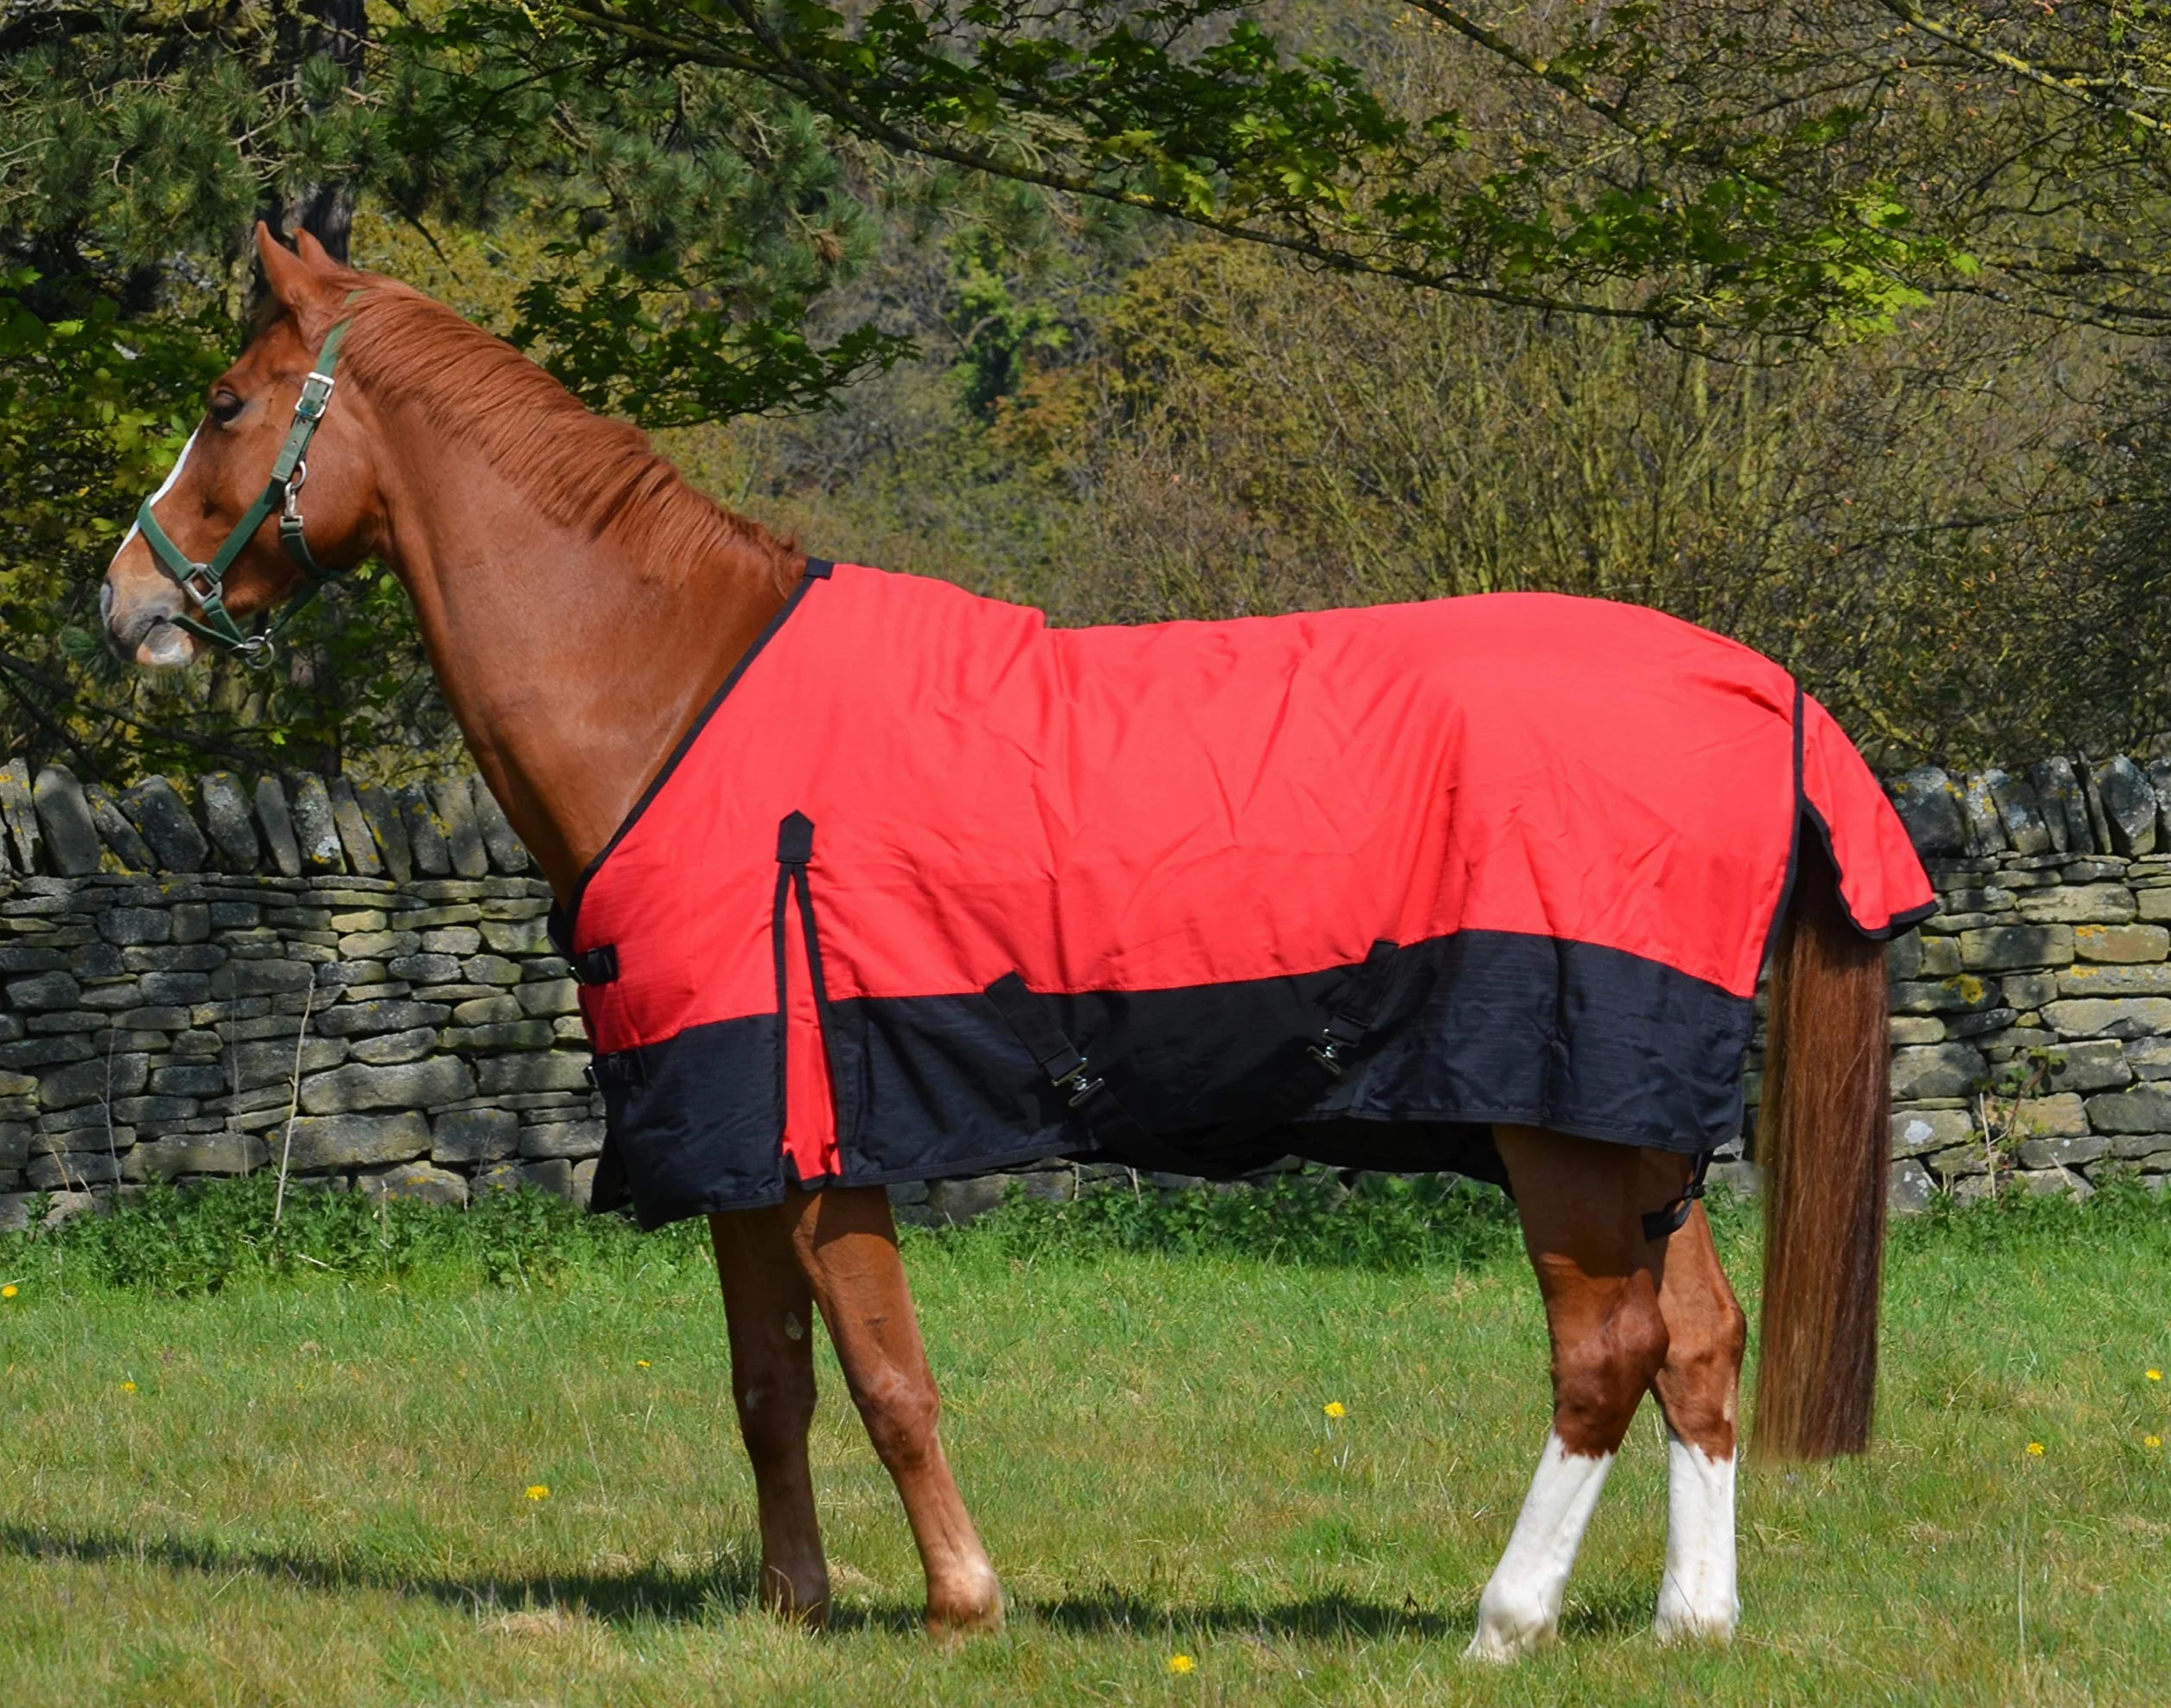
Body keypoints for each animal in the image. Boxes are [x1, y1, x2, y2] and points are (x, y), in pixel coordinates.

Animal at [100, 224, 1920, 1659]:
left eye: (224, 407)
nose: (125, 602)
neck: (677, 692)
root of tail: (1753, 689)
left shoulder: (825, 1130)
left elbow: (887, 1373)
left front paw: (962, 1604)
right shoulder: (737, 1124)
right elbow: (769, 1384)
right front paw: (796, 1609)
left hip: (1558, 1123)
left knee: (1605, 1353)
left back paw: (1505, 1620)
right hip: (1631, 1124)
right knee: (1700, 1340)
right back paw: (1693, 1621)